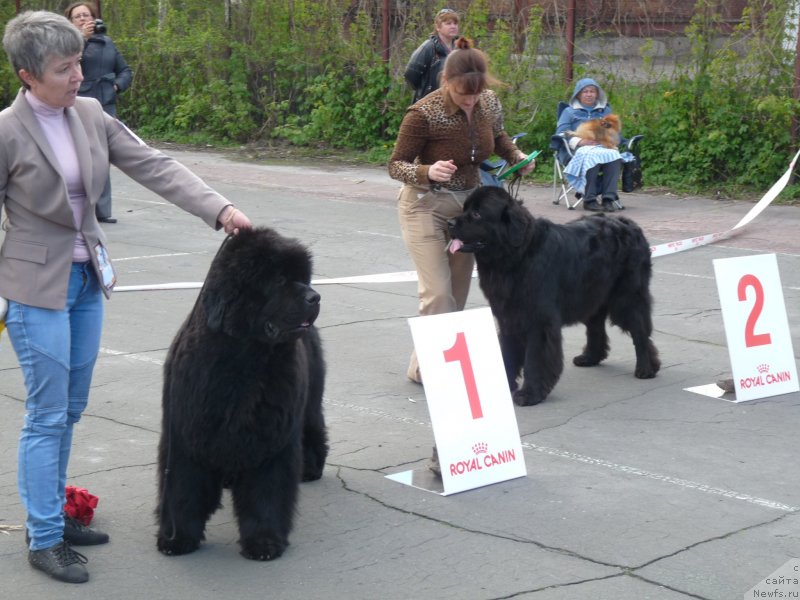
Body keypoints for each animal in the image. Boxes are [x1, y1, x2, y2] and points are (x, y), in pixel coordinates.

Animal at [156, 227, 328, 560]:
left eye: (303, 277)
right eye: (279, 280)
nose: (315, 296)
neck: (244, 362)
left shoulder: (271, 438)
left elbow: (267, 492)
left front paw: (264, 541)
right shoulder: (185, 435)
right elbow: (183, 488)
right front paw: (177, 537)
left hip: (310, 401)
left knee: (313, 426)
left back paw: (311, 467)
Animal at [446, 185, 660, 406]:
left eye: (477, 214)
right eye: (464, 208)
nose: (449, 223)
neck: (516, 257)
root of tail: (630, 224)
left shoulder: (539, 320)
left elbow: (534, 358)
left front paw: (529, 394)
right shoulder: (508, 317)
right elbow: (508, 352)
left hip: (627, 297)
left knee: (640, 330)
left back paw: (646, 369)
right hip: (592, 294)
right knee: (596, 327)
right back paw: (590, 358)